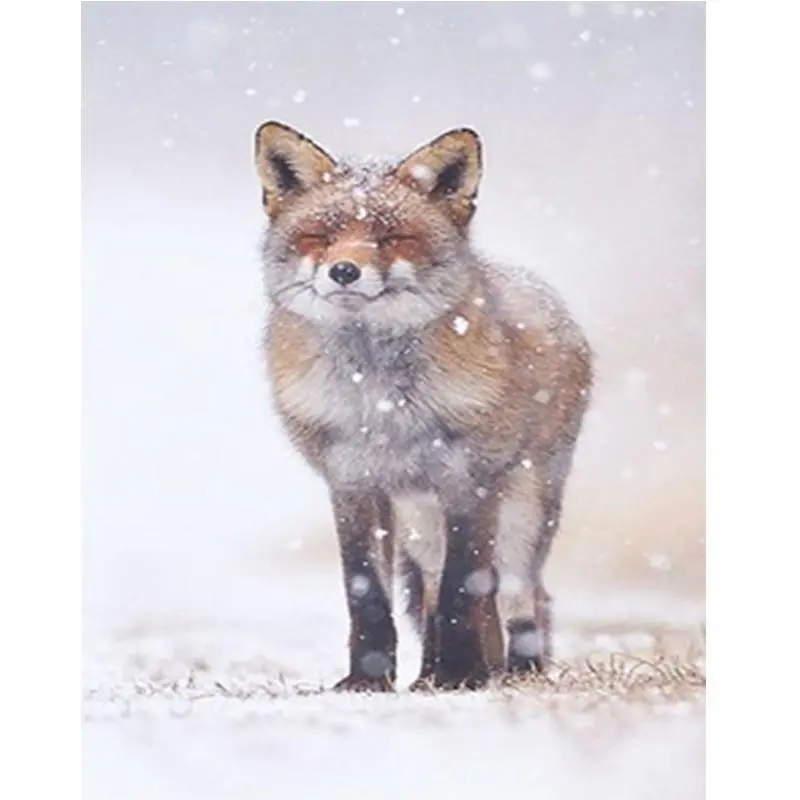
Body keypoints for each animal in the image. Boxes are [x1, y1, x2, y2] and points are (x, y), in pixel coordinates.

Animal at [253, 121, 593, 692]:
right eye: (320, 237)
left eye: (392, 239)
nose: (343, 271)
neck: (379, 400)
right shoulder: (352, 483)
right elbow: (368, 593)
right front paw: (368, 681)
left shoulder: (467, 481)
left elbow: (464, 588)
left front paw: (462, 675)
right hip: (419, 517)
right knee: (434, 589)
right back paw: (430, 673)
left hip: (523, 506)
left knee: (522, 593)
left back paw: (512, 670)